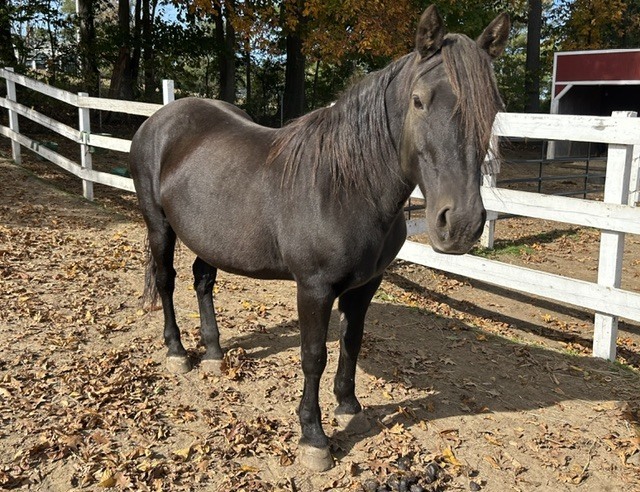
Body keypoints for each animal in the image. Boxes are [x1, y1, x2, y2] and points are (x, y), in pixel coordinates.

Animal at [129, 5, 510, 471]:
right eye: (419, 101)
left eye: (492, 109)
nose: (461, 225)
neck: (345, 186)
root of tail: (159, 120)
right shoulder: (314, 288)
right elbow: (314, 355)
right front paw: (314, 436)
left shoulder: (365, 285)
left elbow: (351, 342)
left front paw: (349, 407)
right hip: (159, 226)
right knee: (166, 282)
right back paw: (178, 352)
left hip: (210, 238)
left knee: (203, 280)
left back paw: (215, 354)